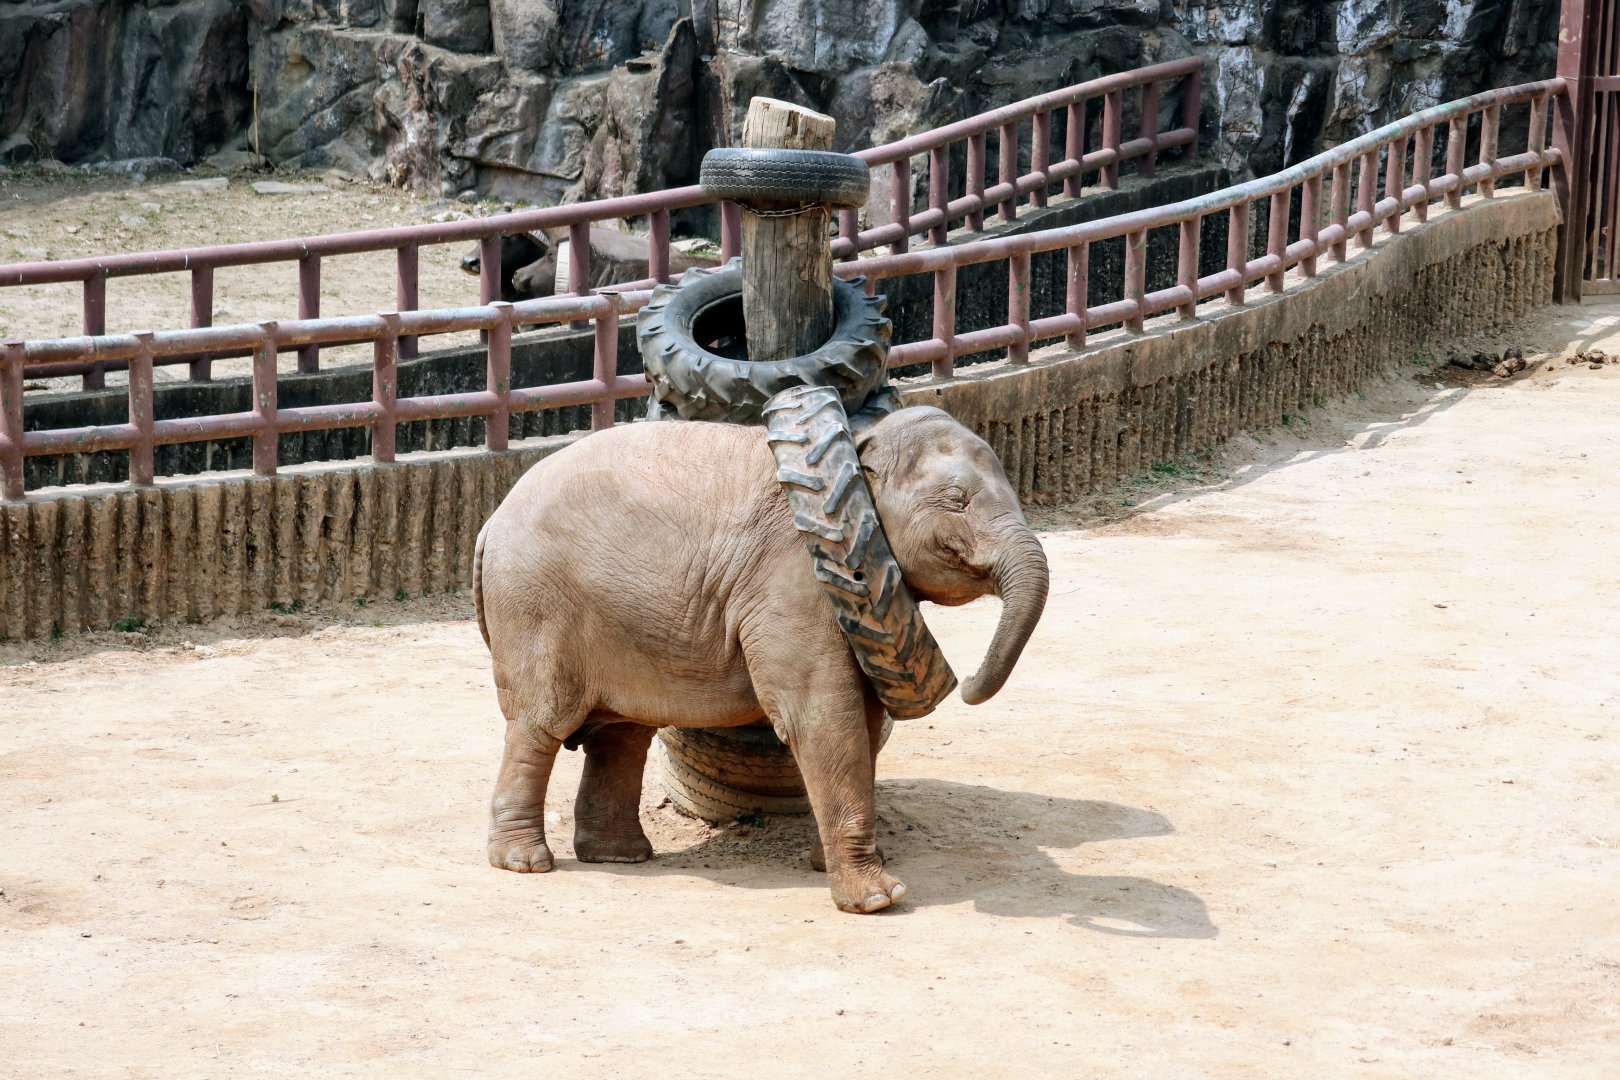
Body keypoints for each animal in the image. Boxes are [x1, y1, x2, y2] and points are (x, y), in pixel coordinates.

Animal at [473, 405, 1049, 913]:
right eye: (958, 499)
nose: (966, 679)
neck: (856, 442)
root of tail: (490, 521)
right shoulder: (793, 579)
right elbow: (821, 716)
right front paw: (878, 900)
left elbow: (862, 718)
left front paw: (836, 868)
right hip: (534, 608)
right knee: (540, 725)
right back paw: (526, 862)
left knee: (621, 734)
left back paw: (620, 856)